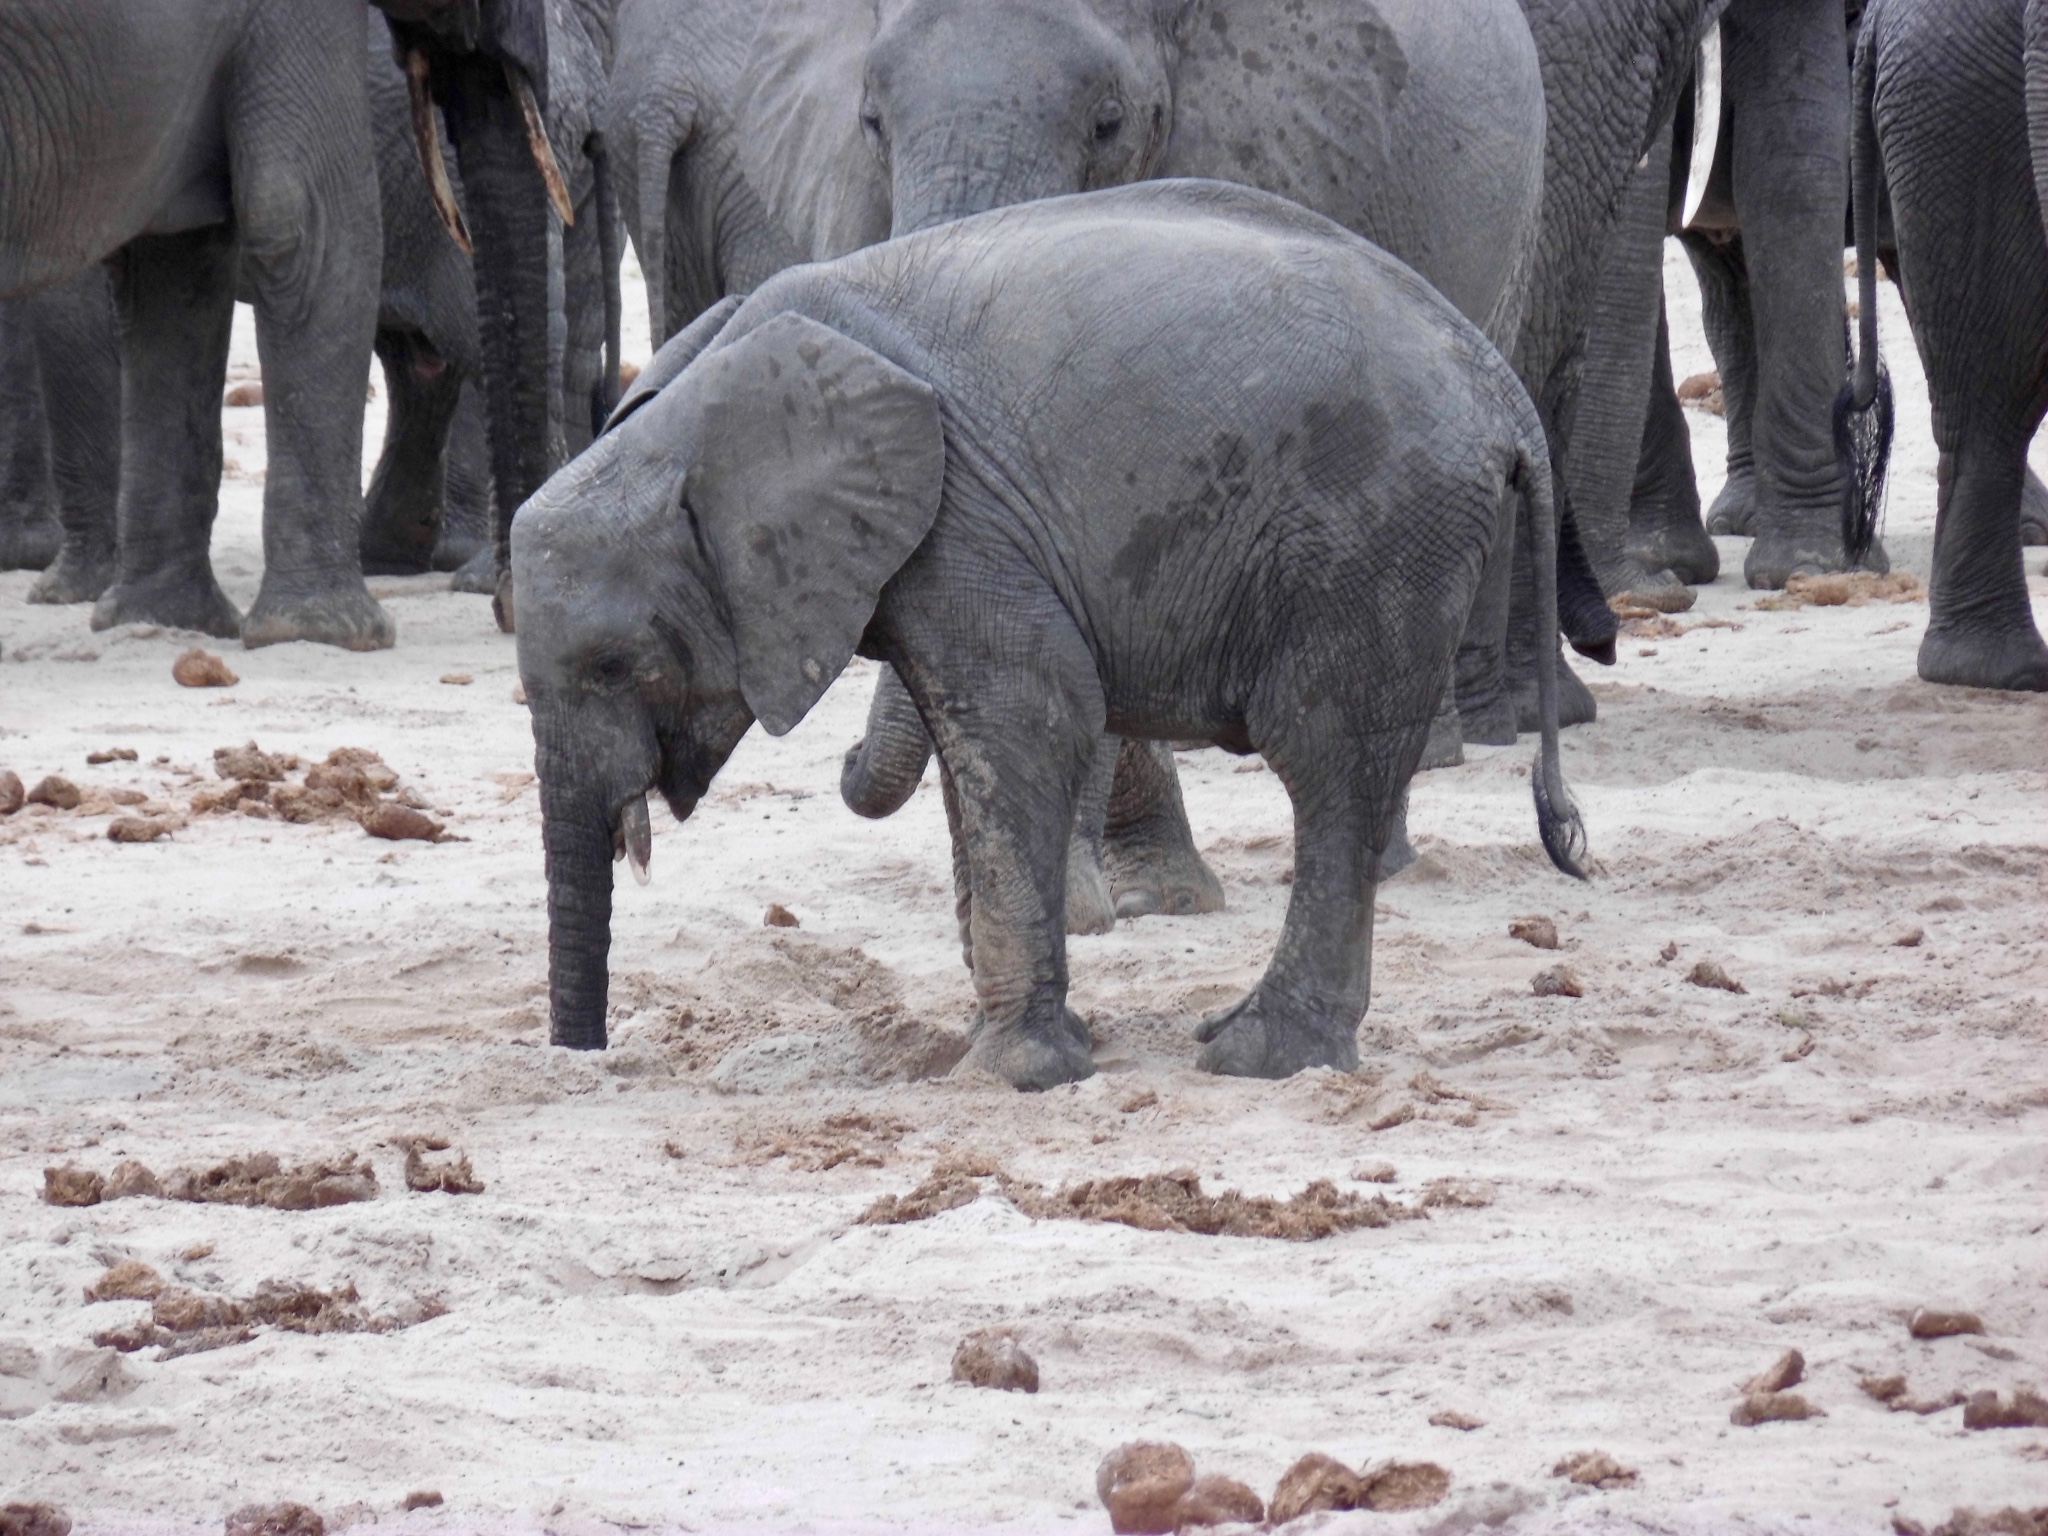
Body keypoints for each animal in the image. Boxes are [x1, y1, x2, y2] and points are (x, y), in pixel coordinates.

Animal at [507, 183, 1581, 1097]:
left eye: (614, 665)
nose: (583, 1064)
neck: (695, 415)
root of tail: (1499, 386)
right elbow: (970, 748)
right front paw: (1009, 1046)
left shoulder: (963, 519)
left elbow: (1031, 721)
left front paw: (1012, 1075)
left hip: (1372, 538)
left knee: (1329, 764)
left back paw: (1256, 1057)